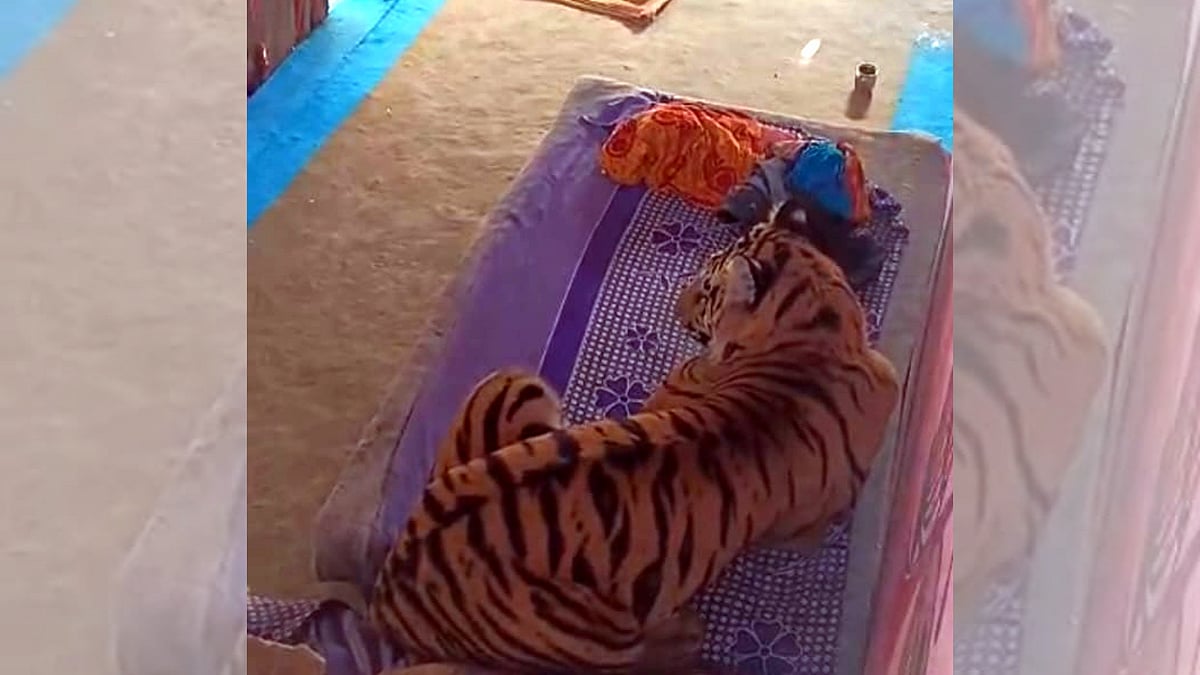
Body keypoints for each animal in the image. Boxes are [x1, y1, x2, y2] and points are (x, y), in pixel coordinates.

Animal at [364, 218, 901, 674]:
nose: (677, 307)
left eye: (708, 290)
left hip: (511, 385)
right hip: (595, 632)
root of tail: (387, 595)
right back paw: (685, 634)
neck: (814, 324)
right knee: (632, 661)